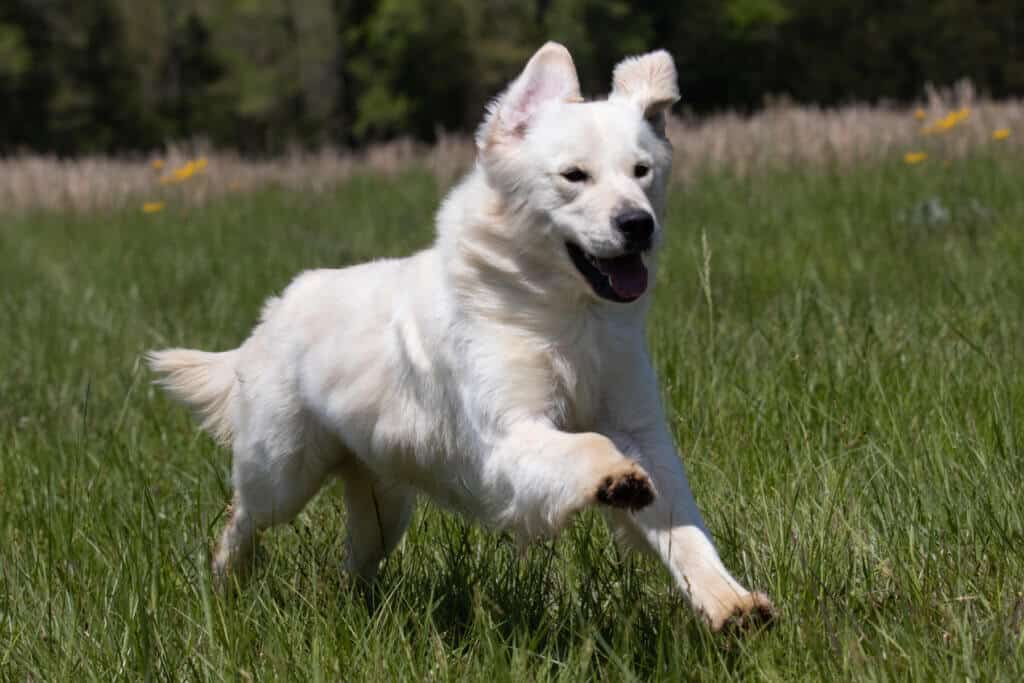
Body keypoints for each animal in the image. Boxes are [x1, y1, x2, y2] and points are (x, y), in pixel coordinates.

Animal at [148, 41, 774, 630]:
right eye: (574, 176)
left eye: (642, 171)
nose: (638, 224)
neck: (562, 316)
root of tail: (275, 311)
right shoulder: (508, 436)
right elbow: (590, 446)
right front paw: (615, 478)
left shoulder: (641, 428)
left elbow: (683, 529)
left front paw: (730, 603)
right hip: (281, 469)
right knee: (244, 517)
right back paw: (225, 581)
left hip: (383, 503)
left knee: (353, 564)